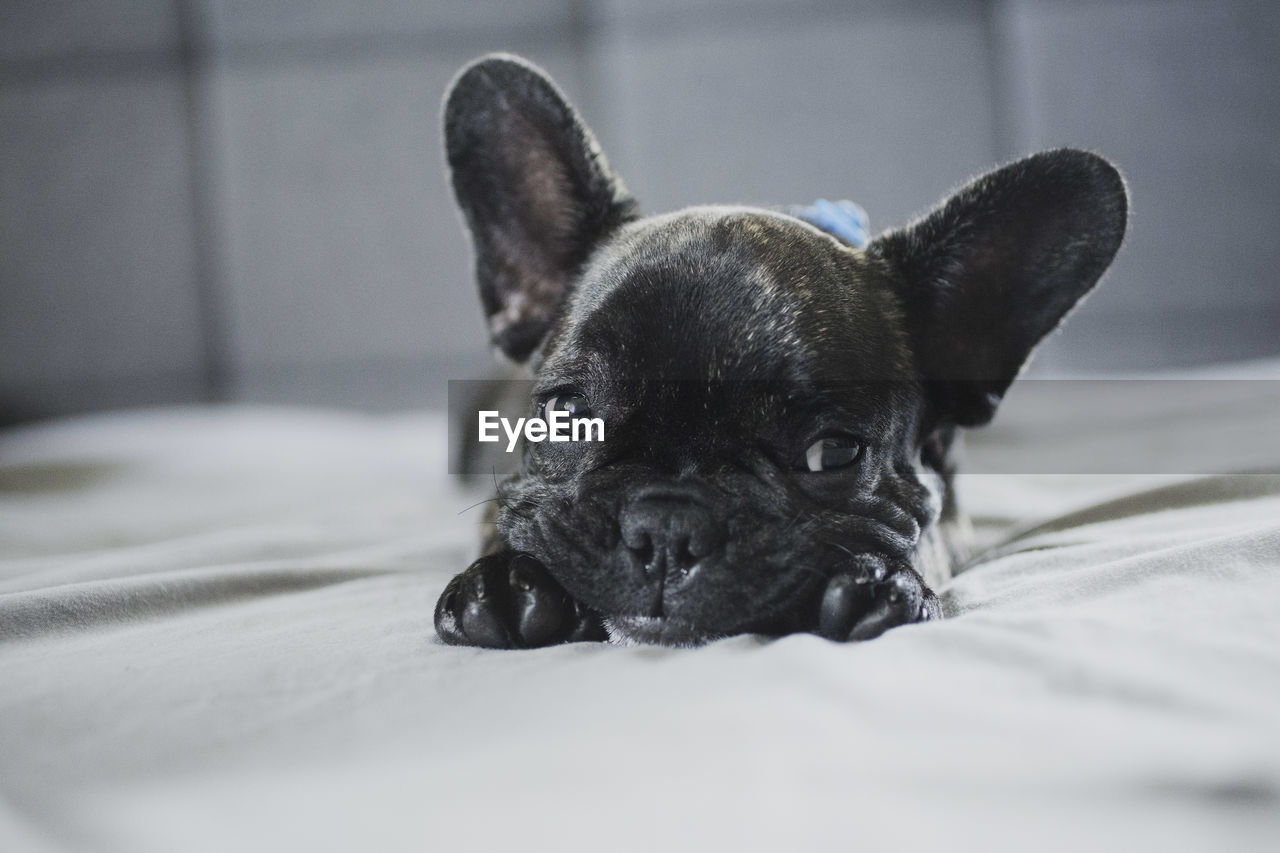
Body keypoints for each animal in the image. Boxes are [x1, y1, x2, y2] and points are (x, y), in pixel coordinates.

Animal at [435, 53, 1126, 648]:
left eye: (833, 453)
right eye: (568, 417)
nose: (667, 527)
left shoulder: (952, 517)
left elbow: (923, 538)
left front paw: (879, 583)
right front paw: (504, 586)